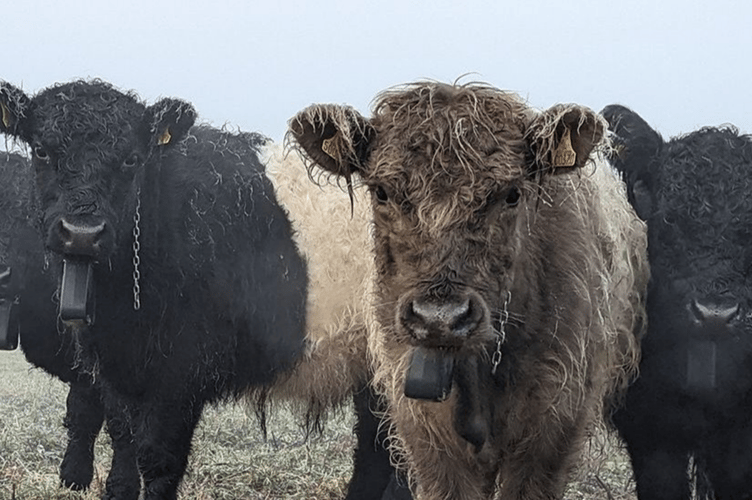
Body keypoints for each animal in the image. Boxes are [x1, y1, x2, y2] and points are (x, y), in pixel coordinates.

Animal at [0, 81, 310, 500]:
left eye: (132, 159)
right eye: (42, 150)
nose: (81, 233)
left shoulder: (179, 372)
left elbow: (152, 453)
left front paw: (84, 478)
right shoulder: (112, 364)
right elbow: (116, 429)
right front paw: (97, 484)